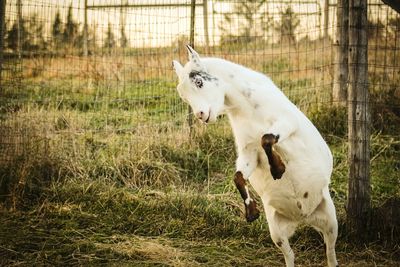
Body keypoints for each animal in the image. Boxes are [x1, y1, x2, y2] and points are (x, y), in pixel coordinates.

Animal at [172, 46, 338, 267]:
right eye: (183, 95)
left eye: (199, 82)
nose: (201, 115)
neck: (248, 110)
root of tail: (303, 217)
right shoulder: (248, 152)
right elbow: (238, 176)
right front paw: (251, 212)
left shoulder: (287, 124)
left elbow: (266, 138)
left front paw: (278, 169)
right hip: (277, 232)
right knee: (290, 254)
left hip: (330, 220)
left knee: (330, 250)